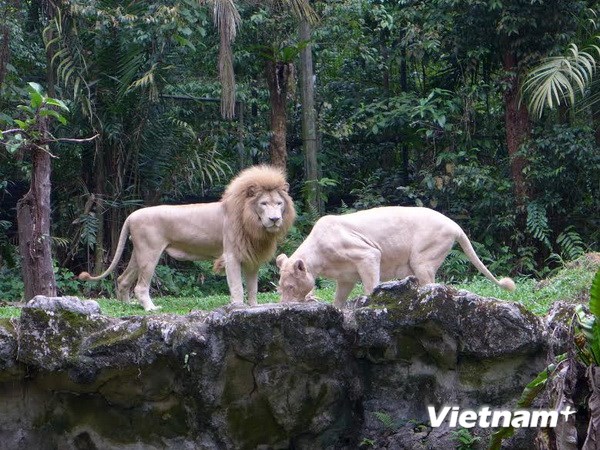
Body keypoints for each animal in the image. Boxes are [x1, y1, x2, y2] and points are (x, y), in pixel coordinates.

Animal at [78, 164, 296, 310]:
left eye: (279, 203)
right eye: (264, 204)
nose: (275, 219)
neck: (252, 222)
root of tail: (132, 215)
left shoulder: (251, 258)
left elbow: (252, 287)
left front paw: (253, 307)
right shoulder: (232, 255)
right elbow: (236, 286)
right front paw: (237, 307)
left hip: (138, 254)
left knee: (123, 279)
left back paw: (129, 306)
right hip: (150, 253)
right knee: (140, 286)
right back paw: (150, 309)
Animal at [276, 207, 516, 306]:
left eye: (289, 287)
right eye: (280, 288)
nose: (284, 303)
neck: (318, 258)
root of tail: (455, 225)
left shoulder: (368, 255)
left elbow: (371, 285)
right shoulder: (345, 278)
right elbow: (338, 300)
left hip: (422, 260)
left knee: (431, 284)